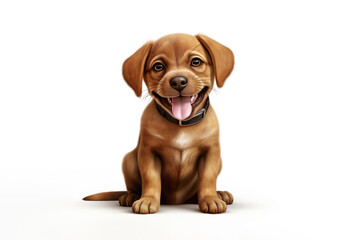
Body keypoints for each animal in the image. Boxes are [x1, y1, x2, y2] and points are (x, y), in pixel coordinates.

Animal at [84, 32, 236, 214]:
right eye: (158, 66)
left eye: (196, 62)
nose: (178, 81)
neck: (180, 124)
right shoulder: (148, 153)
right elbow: (151, 179)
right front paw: (148, 199)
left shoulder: (211, 153)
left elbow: (207, 178)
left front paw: (210, 198)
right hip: (129, 160)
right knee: (134, 186)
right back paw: (131, 196)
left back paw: (220, 194)